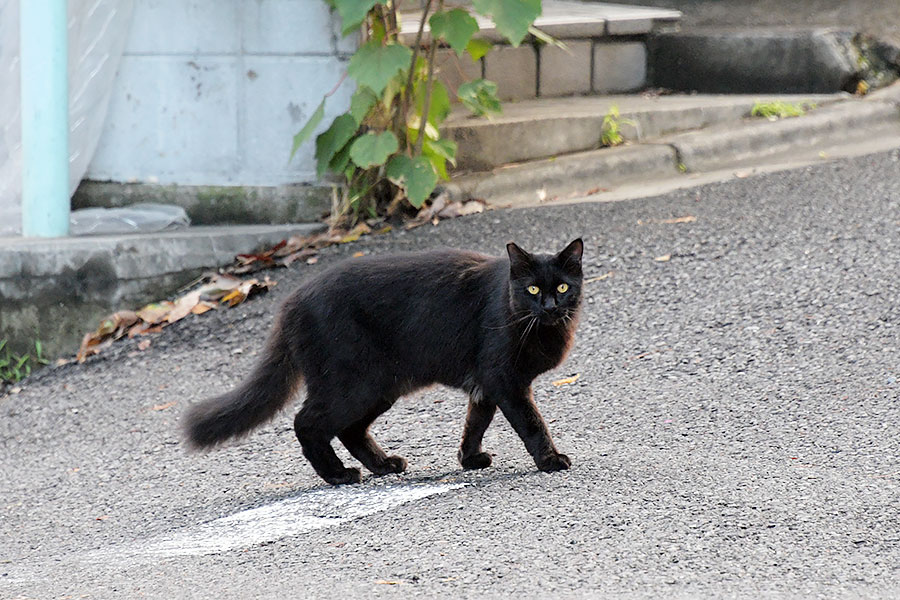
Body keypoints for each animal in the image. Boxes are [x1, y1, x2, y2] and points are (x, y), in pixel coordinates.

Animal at [186, 237, 588, 486]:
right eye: (532, 289)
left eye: (562, 287)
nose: (549, 306)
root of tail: (291, 302)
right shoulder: (504, 380)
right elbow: (532, 424)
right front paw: (550, 460)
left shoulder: (484, 386)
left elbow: (475, 423)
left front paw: (469, 459)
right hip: (353, 385)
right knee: (307, 422)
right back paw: (338, 475)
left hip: (381, 387)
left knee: (349, 430)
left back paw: (383, 465)